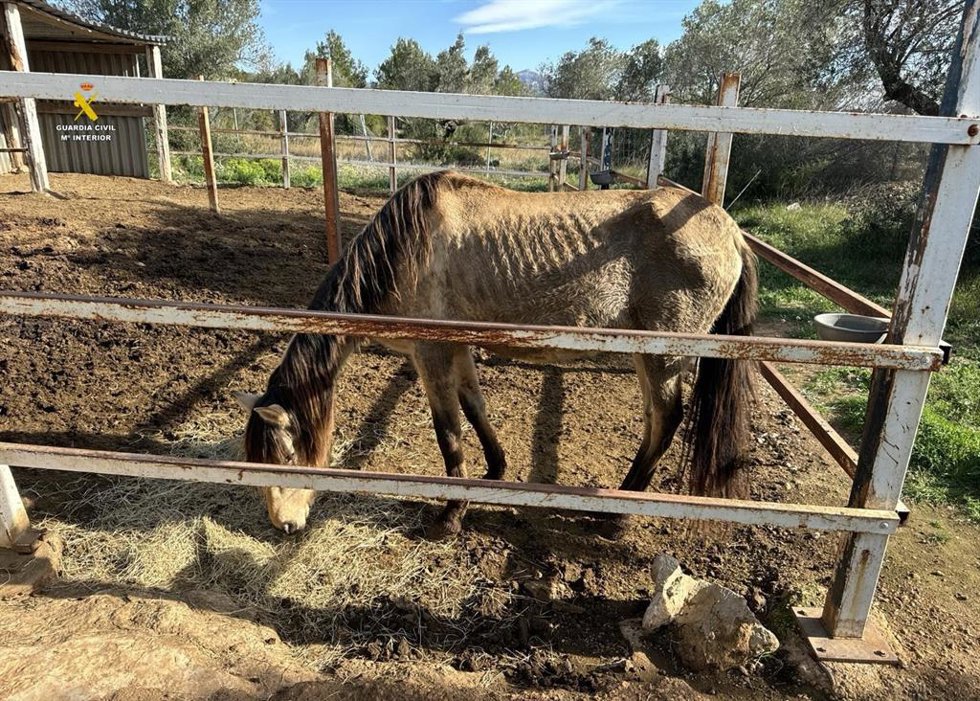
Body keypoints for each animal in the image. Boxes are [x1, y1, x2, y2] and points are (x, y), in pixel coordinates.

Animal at [234, 170, 757, 537]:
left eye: (284, 457)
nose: (284, 525)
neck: (403, 250)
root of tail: (730, 231)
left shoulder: (430, 355)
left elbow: (448, 434)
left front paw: (451, 515)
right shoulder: (458, 348)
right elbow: (475, 407)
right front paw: (494, 469)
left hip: (661, 354)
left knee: (666, 418)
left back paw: (618, 513)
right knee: (654, 420)